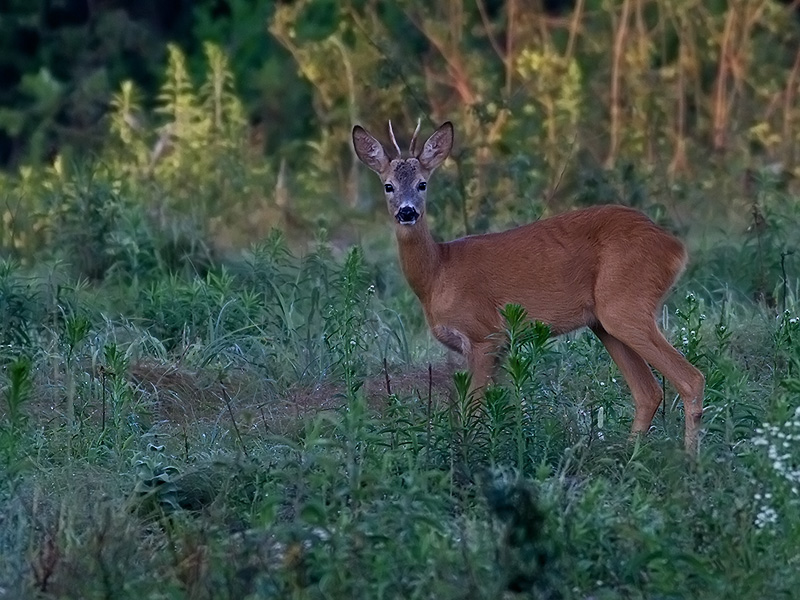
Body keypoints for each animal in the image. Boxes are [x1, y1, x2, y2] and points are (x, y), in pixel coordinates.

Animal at [354, 119, 704, 452]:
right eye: (388, 185)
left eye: (422, 183)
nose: (407, 212)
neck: (438, 272)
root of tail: (675, 247)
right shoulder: (498, 348)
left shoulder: (483, 336)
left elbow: (476, 410)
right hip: (604, 323)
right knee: (648, 392)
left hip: (626, 304)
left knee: (691, 379)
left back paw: (690, 461)